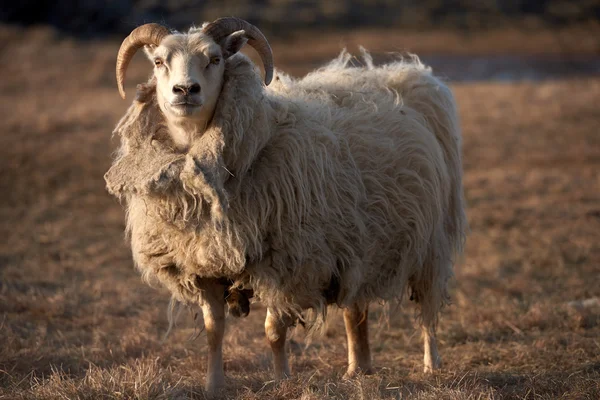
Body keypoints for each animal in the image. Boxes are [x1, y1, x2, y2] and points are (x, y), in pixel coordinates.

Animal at [105, 18, 466, 394]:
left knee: (428, 308)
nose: (185, 90)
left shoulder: (288, 264)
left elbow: (274, 331)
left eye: (215, 59)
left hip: (430, 241)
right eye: (159, 62)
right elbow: (213, 332)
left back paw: (430, 364)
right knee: (355, 308)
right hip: (358, 239)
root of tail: (403, 74)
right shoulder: (204, 264)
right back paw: (358, 368)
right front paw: (214, 385)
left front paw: (281, 380)